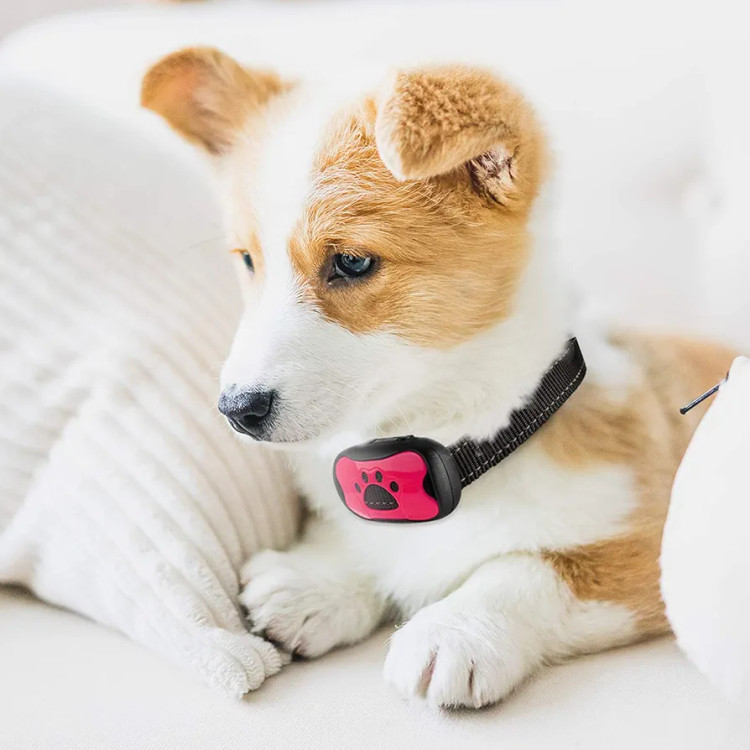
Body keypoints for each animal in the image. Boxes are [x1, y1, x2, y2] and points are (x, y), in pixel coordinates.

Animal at [142, 47, 736, 708]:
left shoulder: (649, 544)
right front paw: (315, 581)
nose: (235, 410)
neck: (459, 443)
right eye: (249, 261)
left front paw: (456, 631)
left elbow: (527, 565)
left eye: (352, 261)